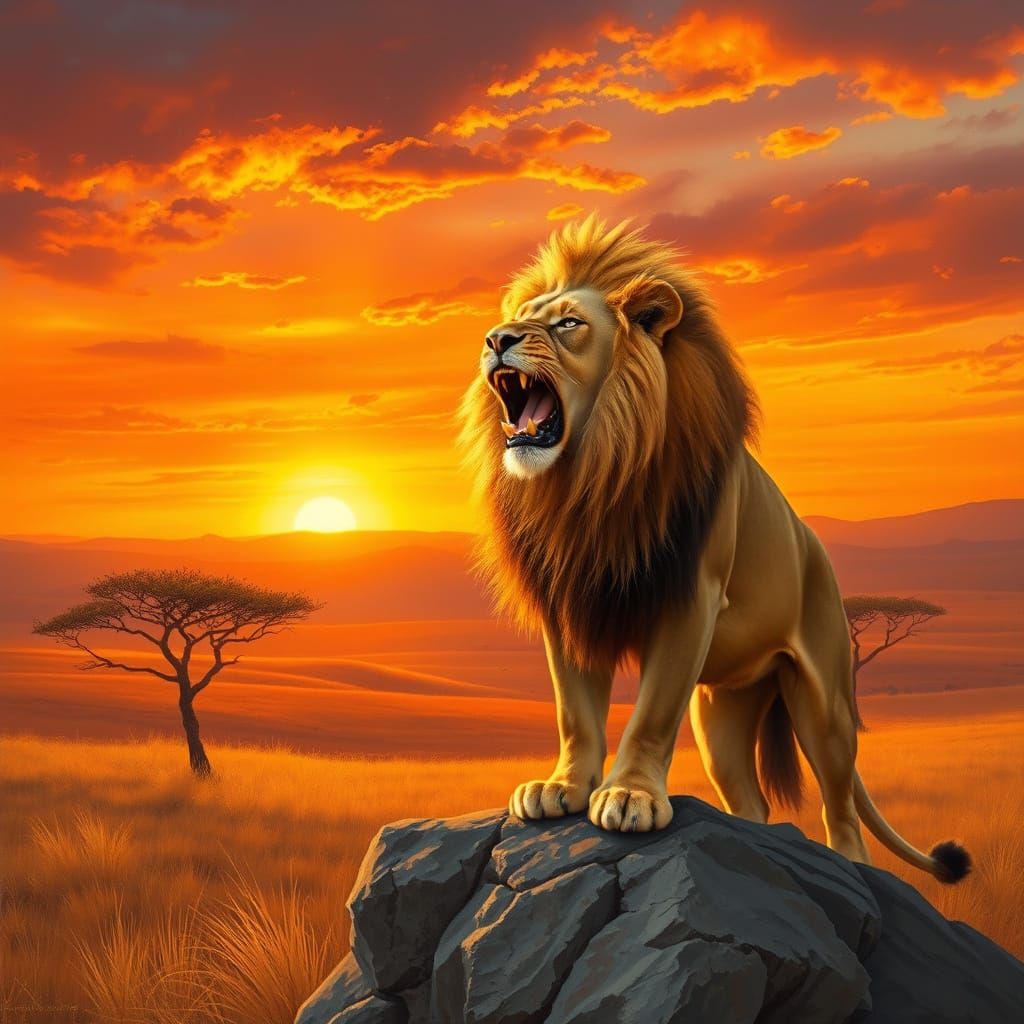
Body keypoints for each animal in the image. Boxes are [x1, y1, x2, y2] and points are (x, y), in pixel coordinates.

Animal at [458, 216, 970, 884]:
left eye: (568, 323)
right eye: (519, 317)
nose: (496, 339)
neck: (589, 479)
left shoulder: (691, 595)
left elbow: (651, 714)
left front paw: (630, 796)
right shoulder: (570, 597)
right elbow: (575, 711)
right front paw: (562, 787)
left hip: (825, 704)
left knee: (840, 810)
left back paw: (851, 867)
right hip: (721, 715)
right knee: (749, 801)